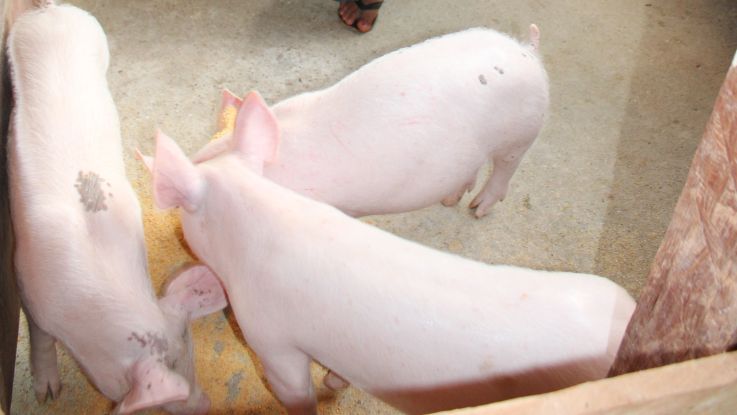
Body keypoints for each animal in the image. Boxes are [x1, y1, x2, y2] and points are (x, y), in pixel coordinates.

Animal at [7, 3, 226, 414]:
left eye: (190, 354)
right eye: (162, 400)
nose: (205, 404)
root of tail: (52, 10)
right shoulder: (27, 286)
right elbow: (41, 339)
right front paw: (48, 394)